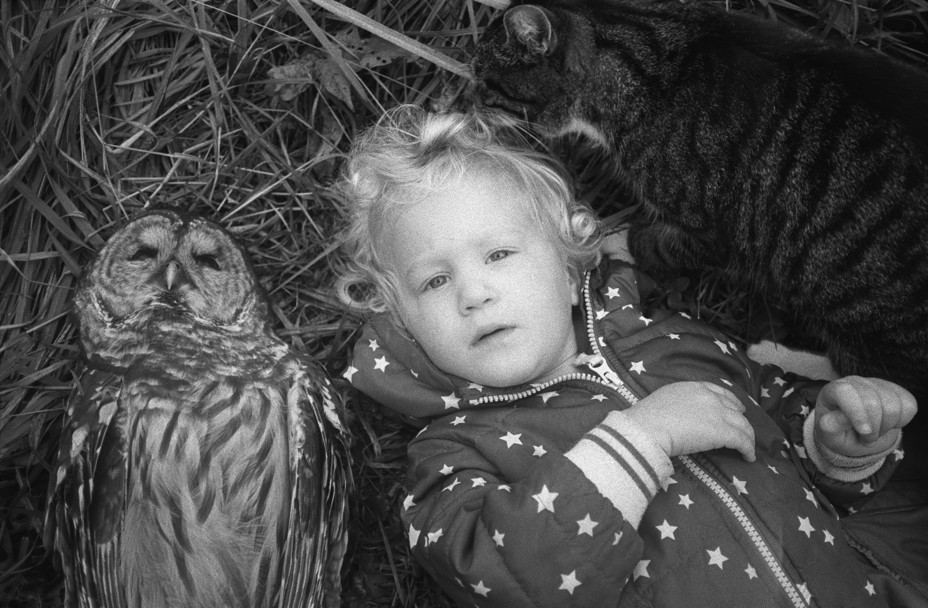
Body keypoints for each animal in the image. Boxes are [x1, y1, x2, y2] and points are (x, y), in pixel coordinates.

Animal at [474, 0, 928, 440]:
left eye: (486, 81)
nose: (470, 100)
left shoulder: (714, 232)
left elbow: (651, 242)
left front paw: (613, 242)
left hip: (861, 311)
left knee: (893, 384)